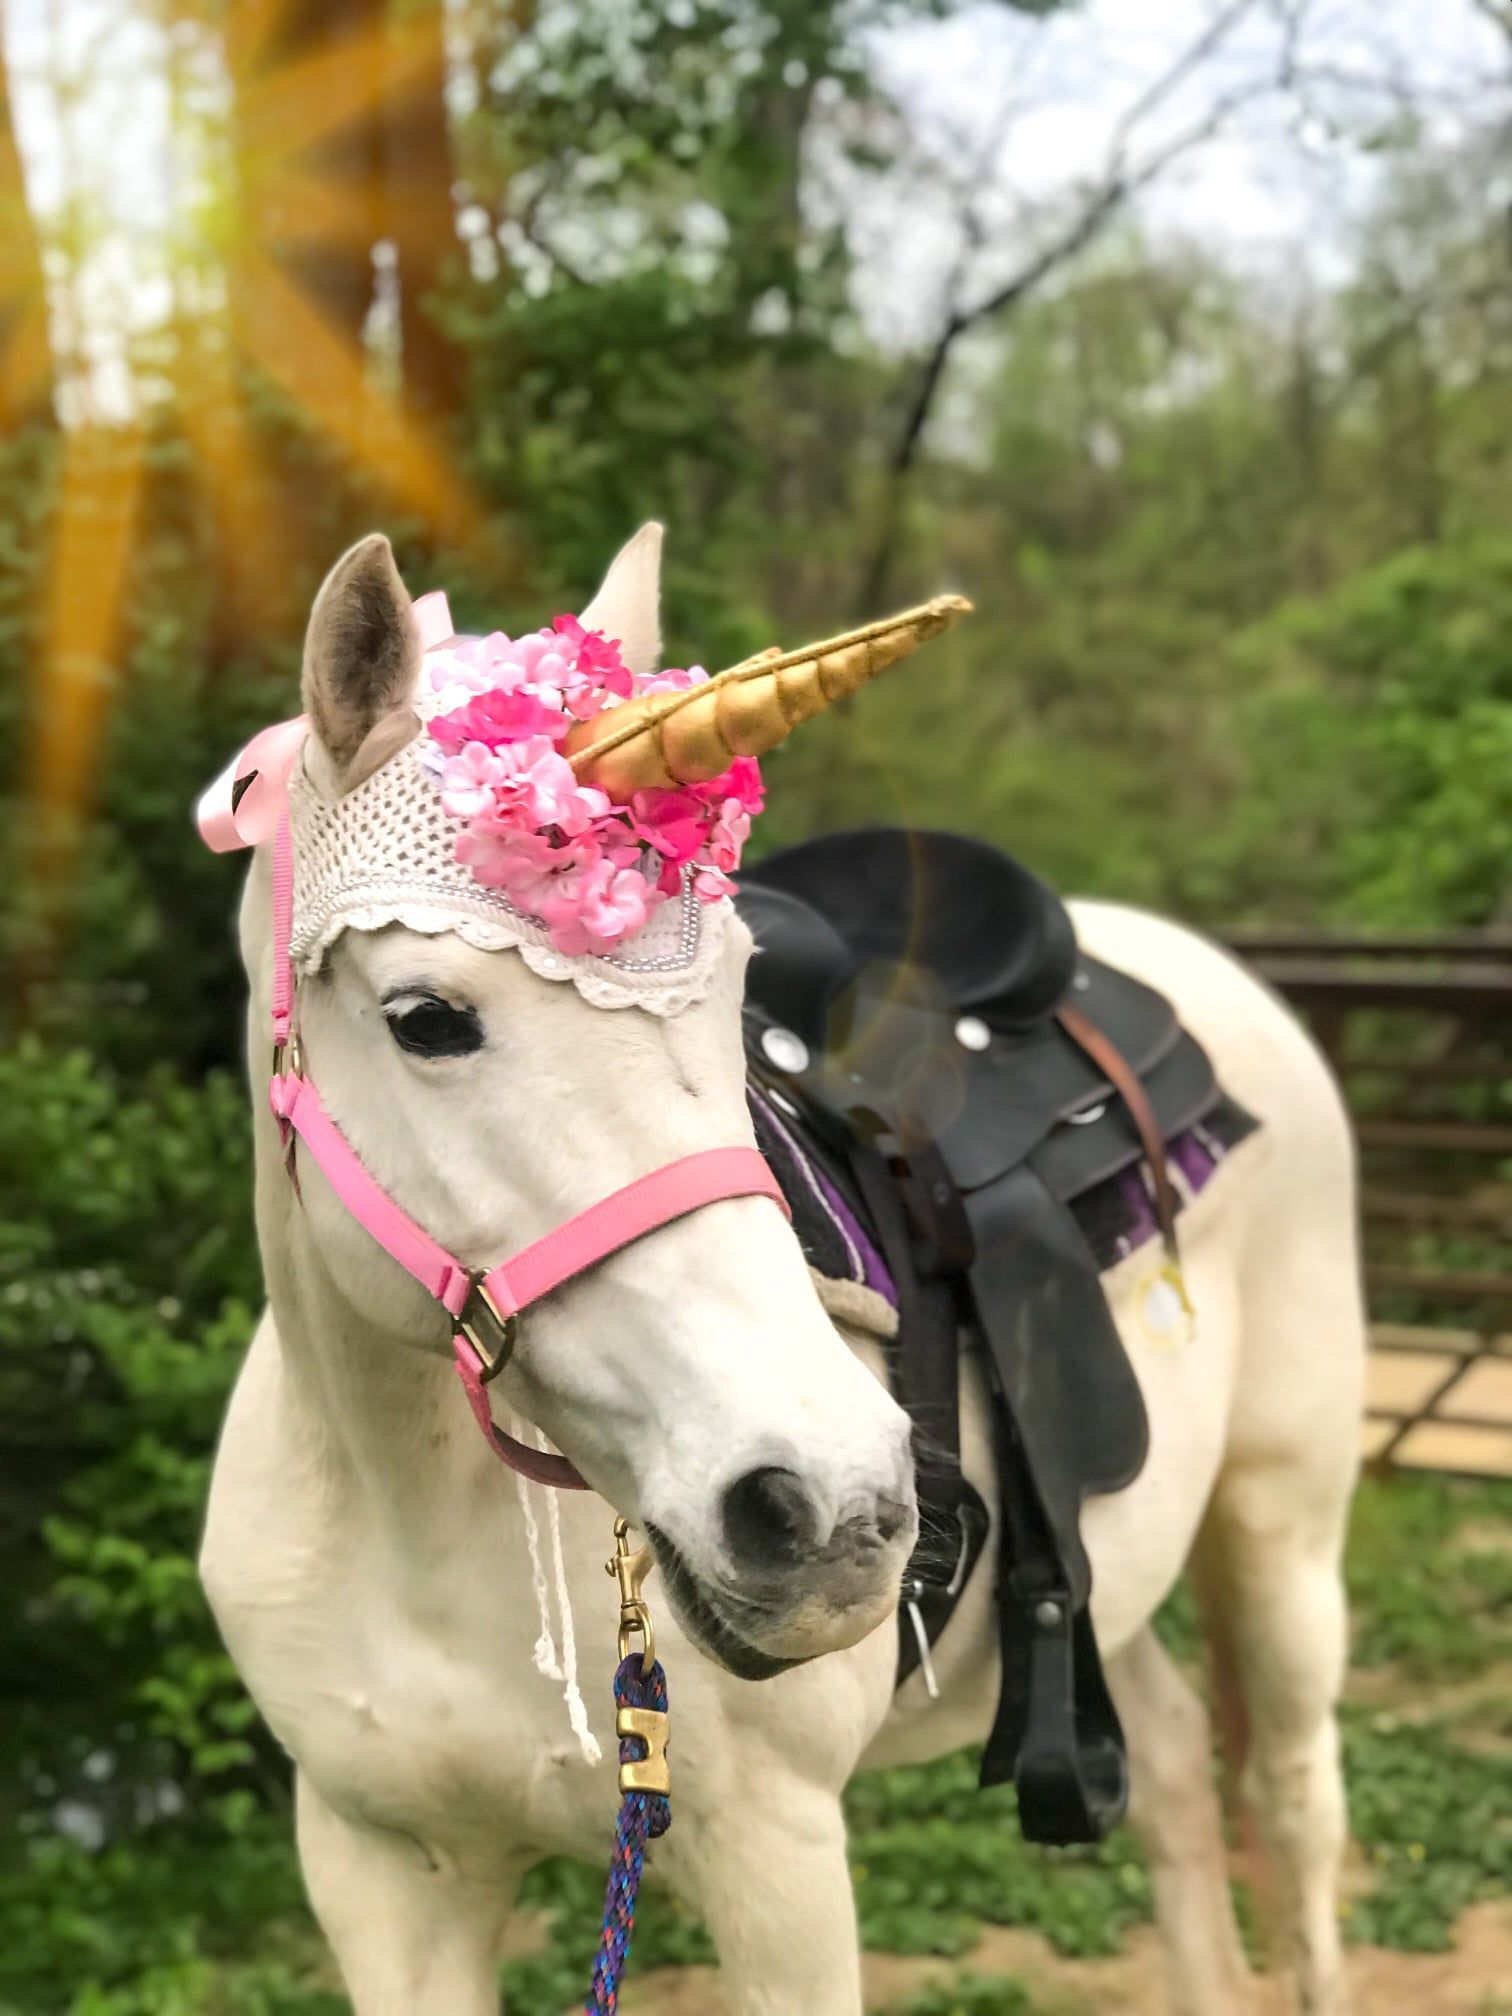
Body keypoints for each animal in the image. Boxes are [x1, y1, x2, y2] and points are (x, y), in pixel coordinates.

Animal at [199, 523, 1365, 2016]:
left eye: (734, 991)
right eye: (427, 1017)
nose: (833, 1507)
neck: (414, 1525)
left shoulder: (776, 1861)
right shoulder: (383, 1876)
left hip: (1283, 1532)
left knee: (1294, 1800)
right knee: (1165, 1767)